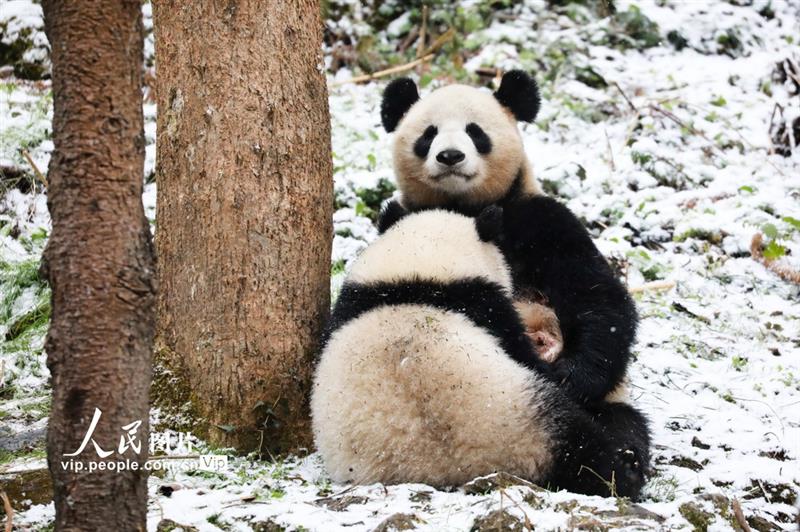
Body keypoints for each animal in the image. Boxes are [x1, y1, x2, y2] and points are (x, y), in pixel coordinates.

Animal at [312, 206, 650, 500]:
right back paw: (624, 468)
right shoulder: (492, 312)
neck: (420, 275)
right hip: (538, 417)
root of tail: (450, 468)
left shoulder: (349, 303)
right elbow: (530, 357)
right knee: (598, 443)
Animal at [380, 71, 638, 406]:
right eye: (428, 134)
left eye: (475, 132)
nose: (450, 156)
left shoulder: (542, 221)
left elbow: (596, 292)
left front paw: (573, 375)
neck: (463, 204)